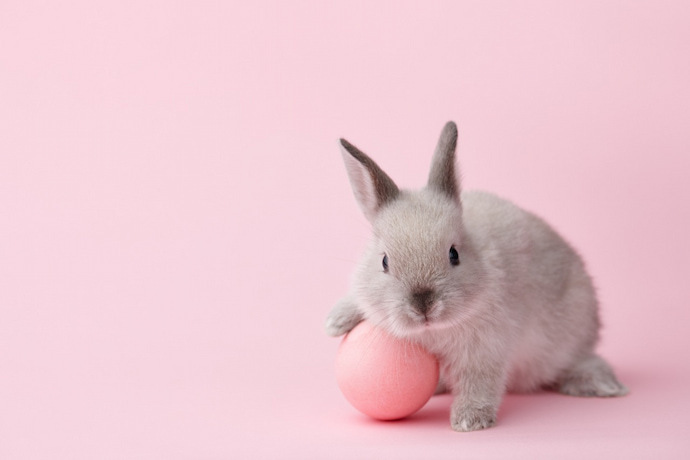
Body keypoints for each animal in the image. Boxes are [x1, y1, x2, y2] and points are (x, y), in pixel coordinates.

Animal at [326, 121, 628, 432]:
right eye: (384, 261)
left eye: (454, 254)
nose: (423, 305)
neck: (431, 331)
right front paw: (335, 321)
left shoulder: (485, 352)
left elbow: (480, 384)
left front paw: (469, 420)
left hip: (572, 336)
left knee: (582, 360)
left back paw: (602, 385)